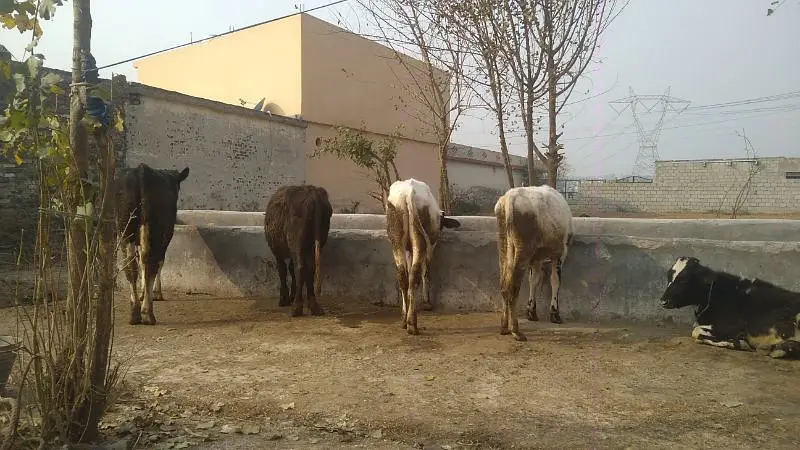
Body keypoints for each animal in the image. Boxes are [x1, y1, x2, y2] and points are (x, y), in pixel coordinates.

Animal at [115, 163, 190, 326]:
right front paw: (155, 293)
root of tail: (141, 172)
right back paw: (147, 313)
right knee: (151, 263)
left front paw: (143, 292)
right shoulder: (166, 237)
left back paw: (135, 313)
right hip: (156, 230)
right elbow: (159, 262)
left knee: (131, 266)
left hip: (125, 229)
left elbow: (141, 263)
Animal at [264, 183, 332, 316]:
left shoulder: (277, 252)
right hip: (318, 240)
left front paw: (284, 299)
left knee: (300, 267)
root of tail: (312, 195)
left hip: (296, 242)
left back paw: (296, 307)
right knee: (310, 268)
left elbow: (283, 271)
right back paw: (313, 305)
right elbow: (290, 269)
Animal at [384, 178, 460, 334]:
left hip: (396, 240)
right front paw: (427, 302)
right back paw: (412, 323)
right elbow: (426, 273)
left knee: (403, 276)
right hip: (421, 242)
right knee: (415, 275)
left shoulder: (408, 250)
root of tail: (409, 191)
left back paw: (404, 319)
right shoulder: (431, 247)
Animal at [494, 185, 576, 342]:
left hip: (504, 247)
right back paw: (516, 331)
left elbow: (534, 281)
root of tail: (511, 196)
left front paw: (531, 312)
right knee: (513, 288)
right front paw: (555, 314)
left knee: (504, 286)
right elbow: (555, 282)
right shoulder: (560, 254)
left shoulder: (536, 260)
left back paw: (504, 327)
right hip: (523, 250)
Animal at [656, 256, 800, 358]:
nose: (663, 301)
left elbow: (696, 332)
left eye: (684, 280)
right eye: (669, 277)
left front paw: (739, 342)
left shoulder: (735, 326)